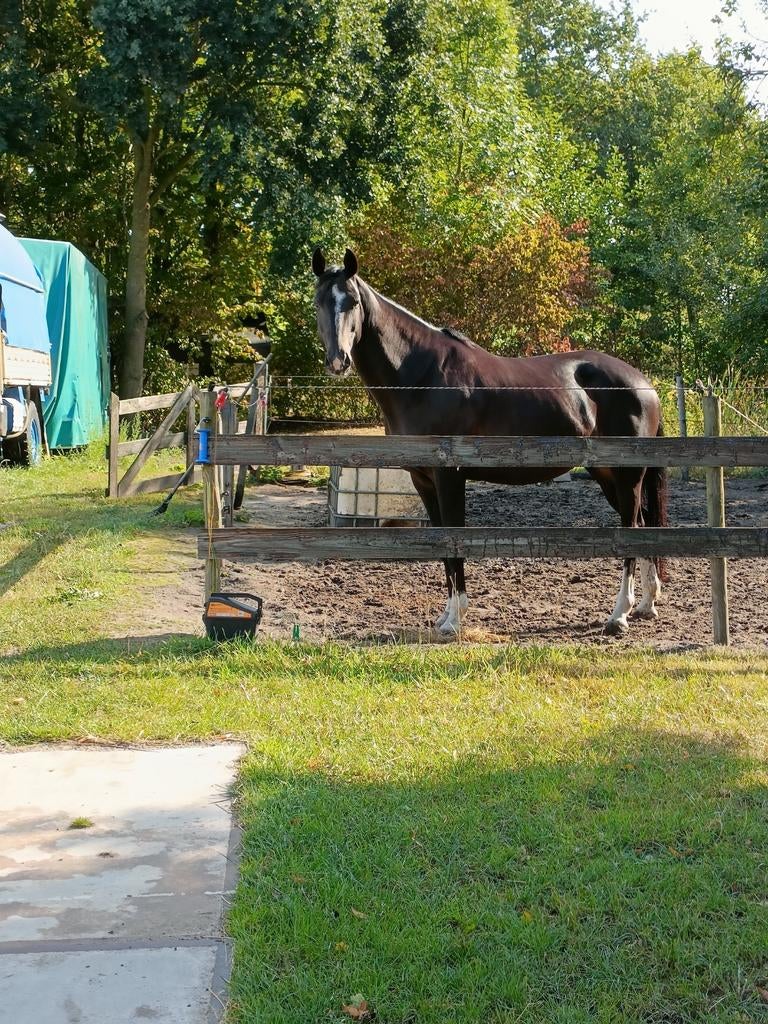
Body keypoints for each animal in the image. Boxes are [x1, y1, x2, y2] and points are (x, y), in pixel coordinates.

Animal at [312, 247, 668, 636]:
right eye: (318, 301)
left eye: (352, 301)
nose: (338, 361)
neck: (421, 376)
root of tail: (644, 384)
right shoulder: (423, 481)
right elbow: (443, 543)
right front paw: (444, 617)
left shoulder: (450, 477)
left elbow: (455, 539)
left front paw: (454, 621)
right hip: (606, 475)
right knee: (644, 524)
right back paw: (646, 605)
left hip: (627, 475)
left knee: (631, 529)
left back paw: (619, 615)